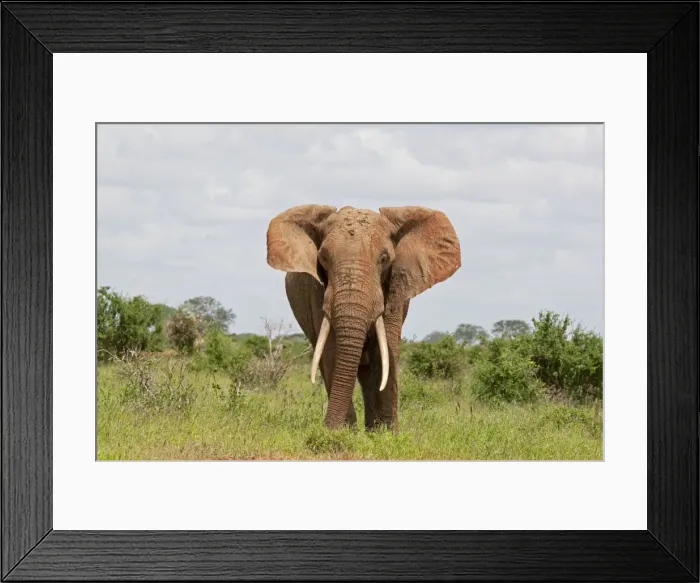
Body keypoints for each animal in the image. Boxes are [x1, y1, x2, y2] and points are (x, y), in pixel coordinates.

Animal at [266, 205, 461, 432]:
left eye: (384, 259)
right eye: (323, 258)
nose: (326, 427)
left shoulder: (394, 289)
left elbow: (384, 355)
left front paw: (384, 434)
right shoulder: (318, 294)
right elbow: (332, 353)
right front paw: (342, 433)